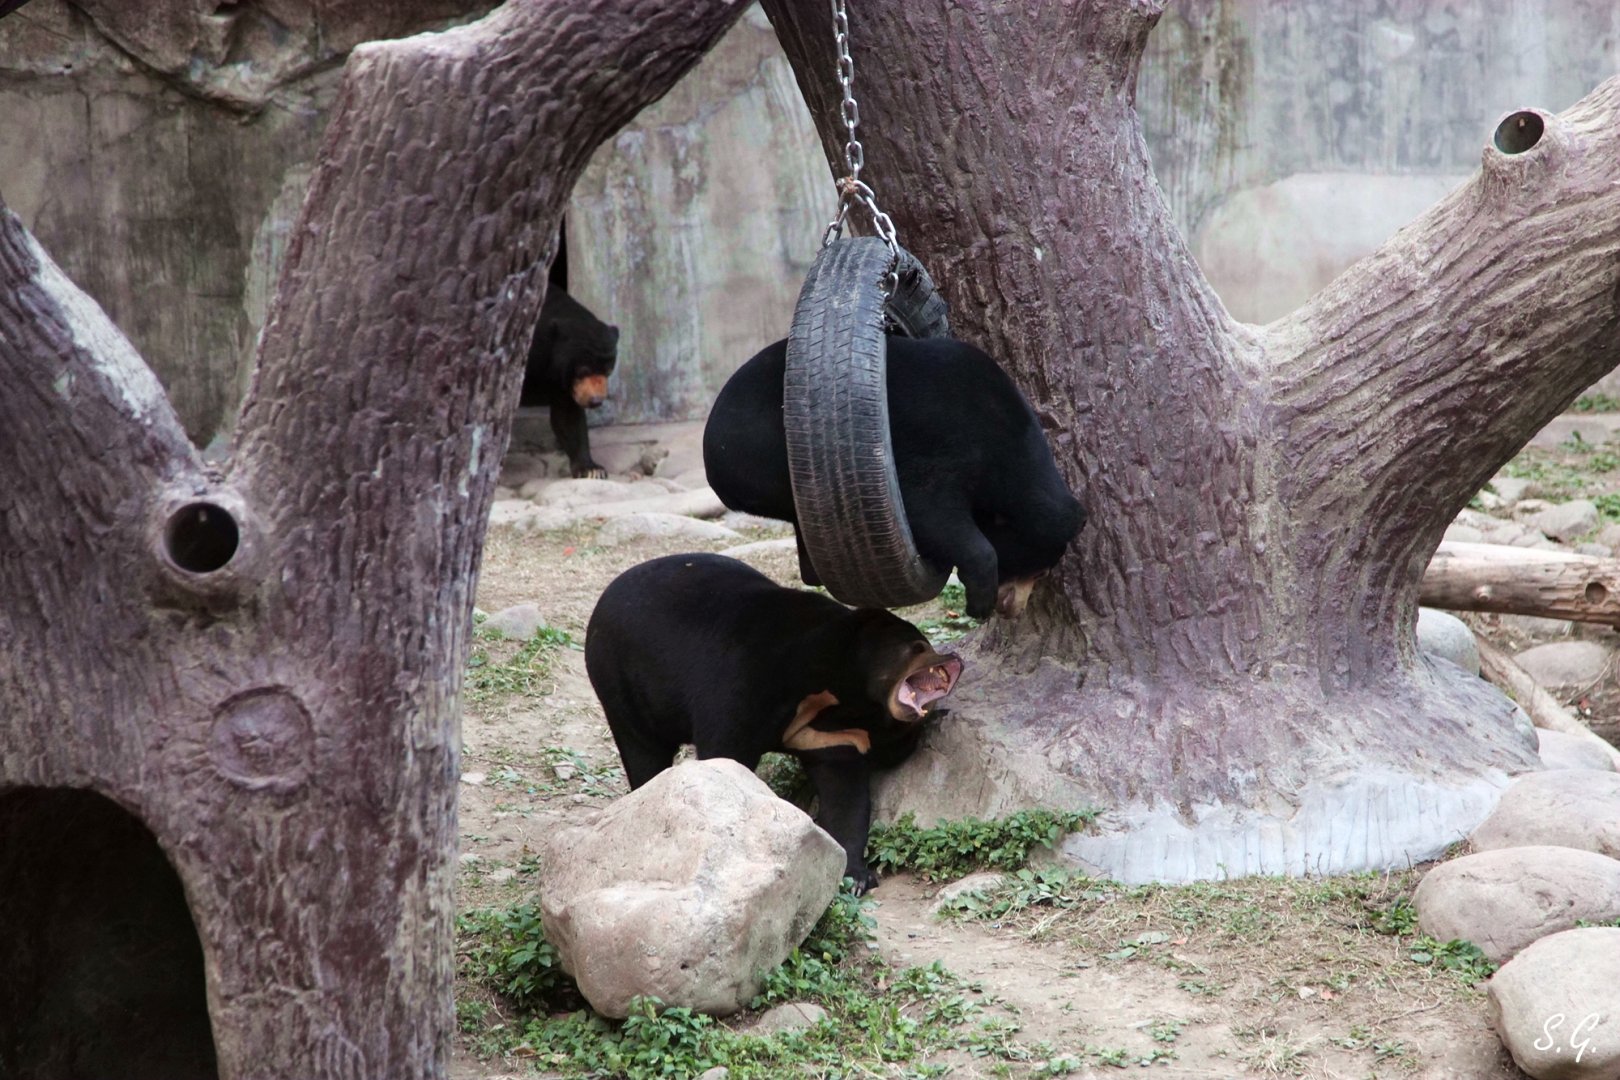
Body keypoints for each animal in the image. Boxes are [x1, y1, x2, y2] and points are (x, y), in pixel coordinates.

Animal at [519, 286, 619, 478]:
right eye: (582, 370)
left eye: (608, 370)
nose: (595, 401)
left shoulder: (562, 380)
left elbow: (567, 416)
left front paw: (593, 469)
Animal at [584, 553, 962, 893]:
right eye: (918, 647)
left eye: (928, 643)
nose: (954, 658)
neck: (835, 690)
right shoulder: (746, 676)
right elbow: (726, 750)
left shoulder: (835, 734)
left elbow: (844, 793)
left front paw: (855, 876)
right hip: (621, 682)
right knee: (643, 751)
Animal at [702, 335, 1085, 621]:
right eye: (1036, 570)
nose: (1012, 610)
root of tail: (711, 448)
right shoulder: (939, 445)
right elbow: (930, 509)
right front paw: (979, 601)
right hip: (776, 455)